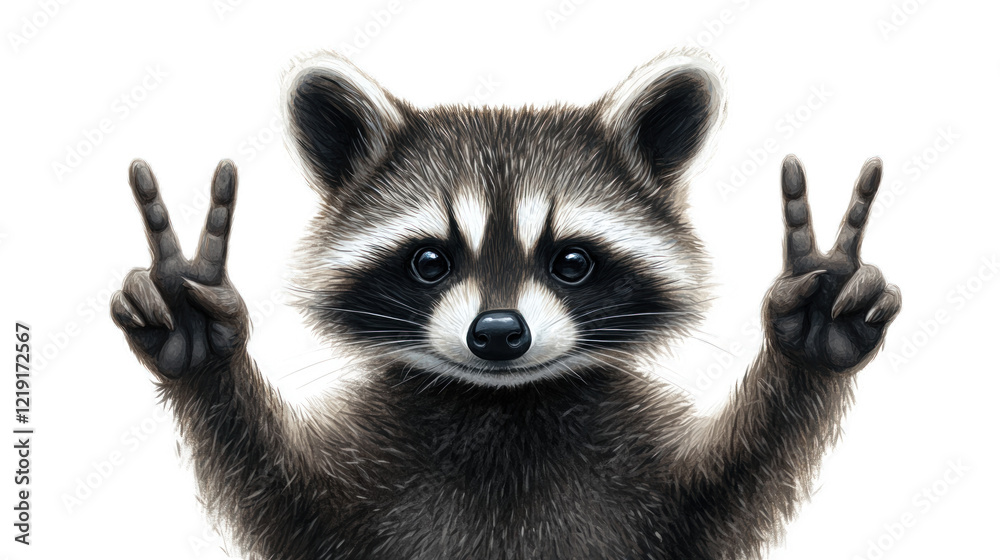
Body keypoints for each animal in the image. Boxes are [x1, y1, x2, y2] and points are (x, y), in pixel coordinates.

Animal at [110, 49, 901, 559]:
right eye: (430, 262)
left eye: (571, 263)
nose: (496, 333)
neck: (501, 407)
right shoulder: (363, 488)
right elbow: (287, 501)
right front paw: (202, 338)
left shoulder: (645, 483)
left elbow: (725, 494)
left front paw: (809, 332)